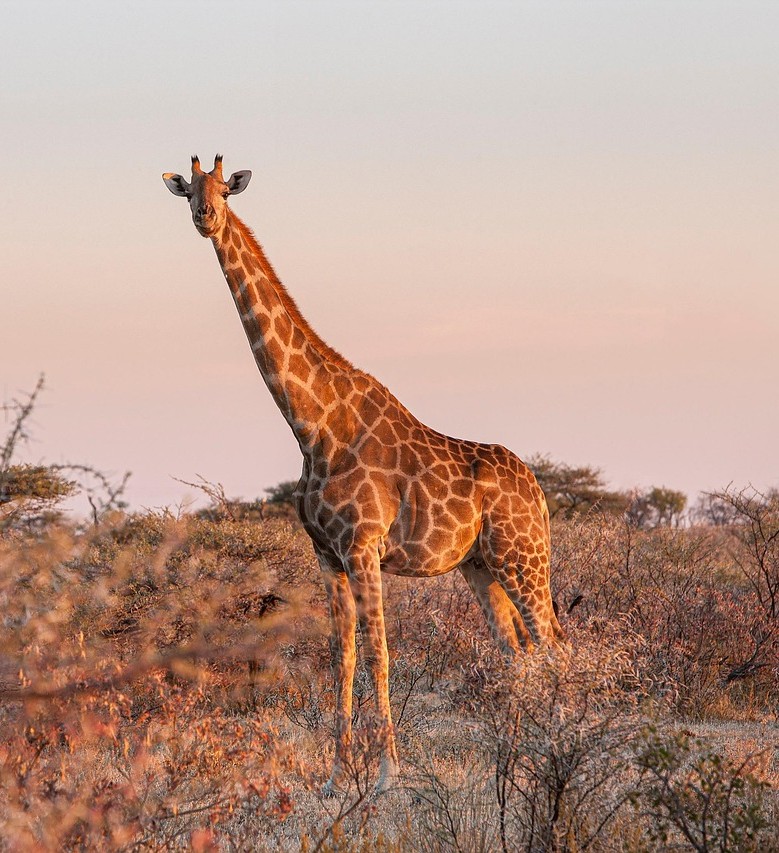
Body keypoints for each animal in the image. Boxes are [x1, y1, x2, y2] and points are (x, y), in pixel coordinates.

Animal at [163, 155, 565, 794]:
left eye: (224, 188)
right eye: (188, 190)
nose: (206, 216)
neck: (314, 424)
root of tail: (540, 493)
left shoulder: (363, 546)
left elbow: (379, 651)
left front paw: (385, 774)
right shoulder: (327, 554)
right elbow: (342, 655)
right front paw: (335, 776)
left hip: (524, 557)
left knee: (553, 646)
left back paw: (560, 748)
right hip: (481, 566)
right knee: (517, 649)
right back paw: (516, 761)